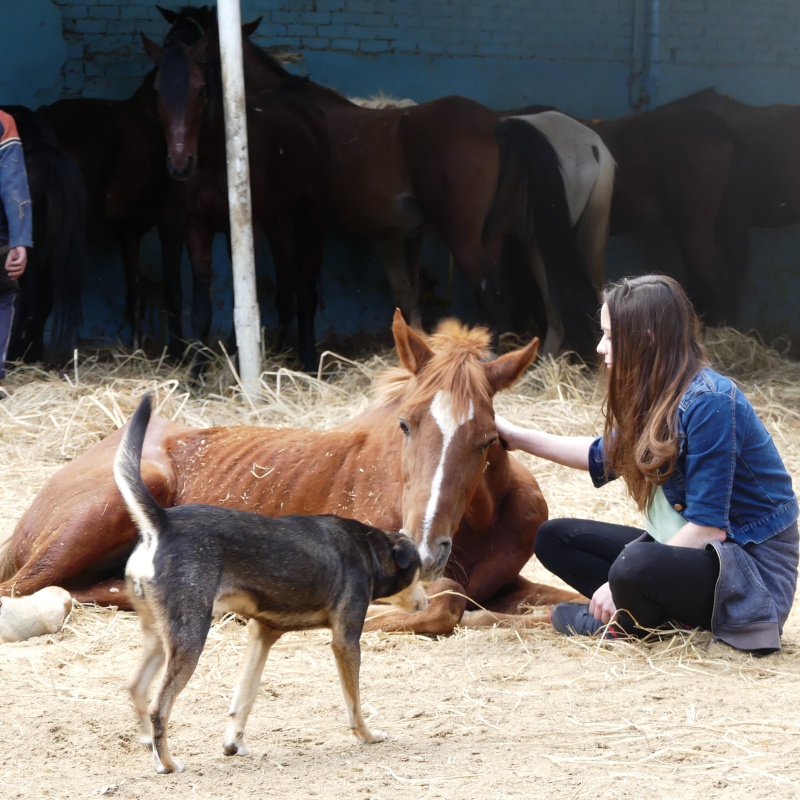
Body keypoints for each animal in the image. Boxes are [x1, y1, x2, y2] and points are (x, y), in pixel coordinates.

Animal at [0, 310, 580, 632]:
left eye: (486, 440)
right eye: (405, 424)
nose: (423, 546)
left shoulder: (506, 582)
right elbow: (443, 607)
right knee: (25, 587)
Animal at [113, 390, 428, 772]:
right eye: (418, 571)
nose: (426, 601)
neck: (368, 547)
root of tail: (161, 524)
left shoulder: (262, 634)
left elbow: (245, 697)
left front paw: (234, 742)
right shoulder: (345, 641)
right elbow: (354, 703)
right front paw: (367, 736)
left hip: (161, 637)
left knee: (136, 688)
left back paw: (148, 743)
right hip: (189, 638)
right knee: (159, 705)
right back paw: (167, 763)